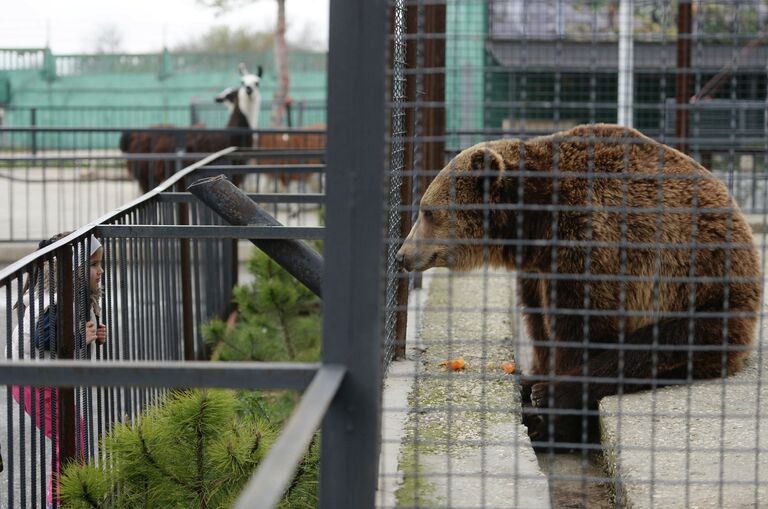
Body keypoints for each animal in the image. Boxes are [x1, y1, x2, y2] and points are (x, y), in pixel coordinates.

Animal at [400, 123, 764, 448]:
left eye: (427, 212)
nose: (403, 254)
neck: (536, 222)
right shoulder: (537, 270)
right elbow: (540, 325)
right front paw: (536, 379)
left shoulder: (589, 242)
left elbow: (581, 329)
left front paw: (554, 421)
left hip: (704, 294)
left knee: (657, 347)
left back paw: (551, 393)